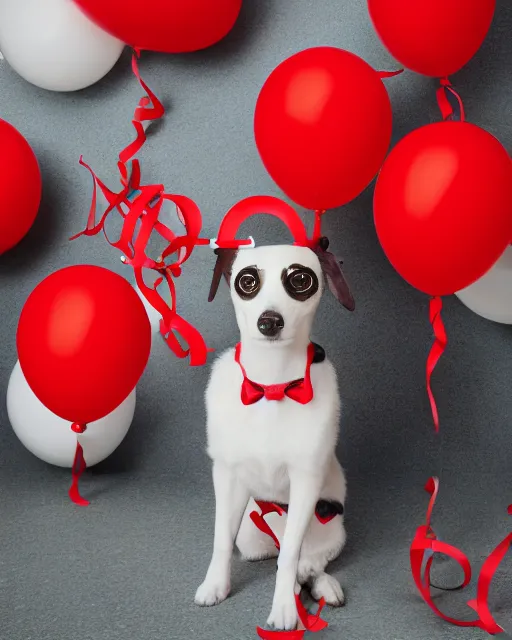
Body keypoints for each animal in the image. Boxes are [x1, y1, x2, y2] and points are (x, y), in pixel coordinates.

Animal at [194, 230, 354, 632]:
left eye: (300, 280)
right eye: (247, 281)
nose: (270, 321)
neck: (272, 385)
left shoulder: (306, 482)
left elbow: (290, 561)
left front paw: (283, 607)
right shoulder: (227, 478)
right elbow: (221, 539)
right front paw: (215, 585)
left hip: (330, 528)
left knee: (305, 563)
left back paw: (320, 584)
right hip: (251, 539)